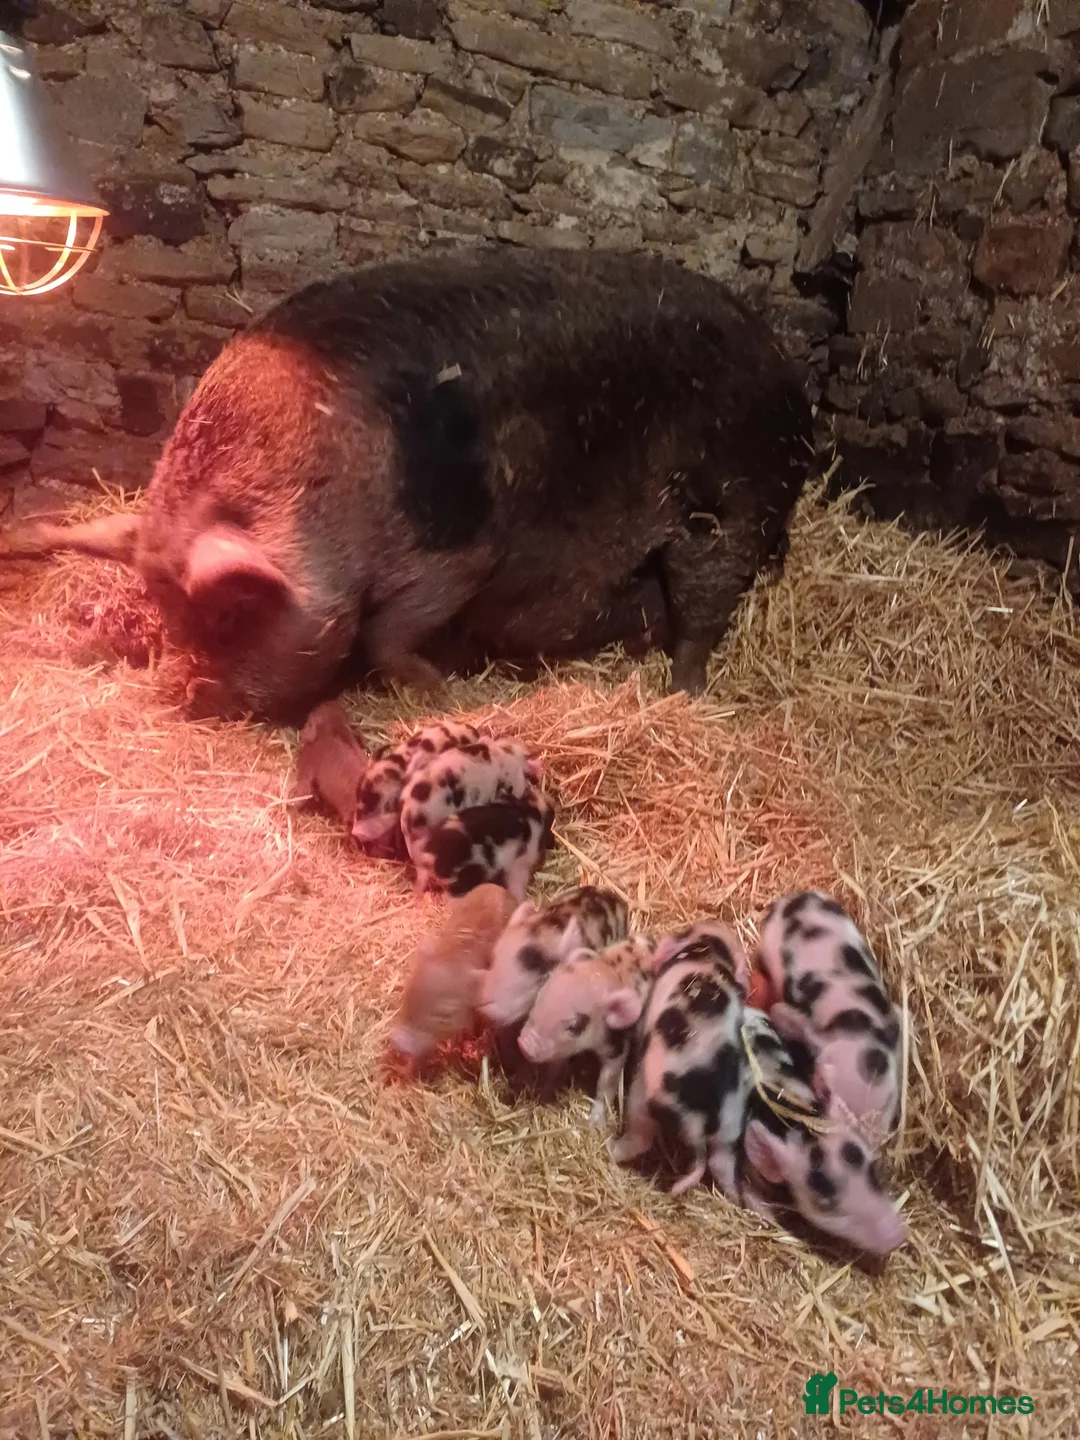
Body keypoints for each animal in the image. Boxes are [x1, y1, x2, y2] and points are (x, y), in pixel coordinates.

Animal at [0, 249, 813, 722]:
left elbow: (385, 633)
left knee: (705, 607)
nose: (192, 698)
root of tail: (782, 367)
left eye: (230, 616)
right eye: (171, 619)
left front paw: (439, 692)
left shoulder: (458, 554)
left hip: (732, 503)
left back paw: (685, 698)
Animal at [517, 934, 656, 1125]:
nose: (524, 1044)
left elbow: (606, 1083)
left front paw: (595, 1123)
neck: (608, 972)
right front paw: (544, 1088)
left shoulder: (617, 1045)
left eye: (576, 1026)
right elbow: (555, 1066)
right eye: (542, 992)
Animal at [609, 923, 750, 1197]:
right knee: (721, 1163)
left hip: (642, 1101)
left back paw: (610, 1147)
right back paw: (735, 1196)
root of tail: (701, 1123)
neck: (710, 953)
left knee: (640, 1139)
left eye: (686, 930)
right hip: (730, 1127)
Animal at [737, 1007, 909, 1255]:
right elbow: (751, 1196)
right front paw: (772, 1220)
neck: (794, 1122)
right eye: (826, 1203)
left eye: (872, 1170)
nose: (898, 1235)